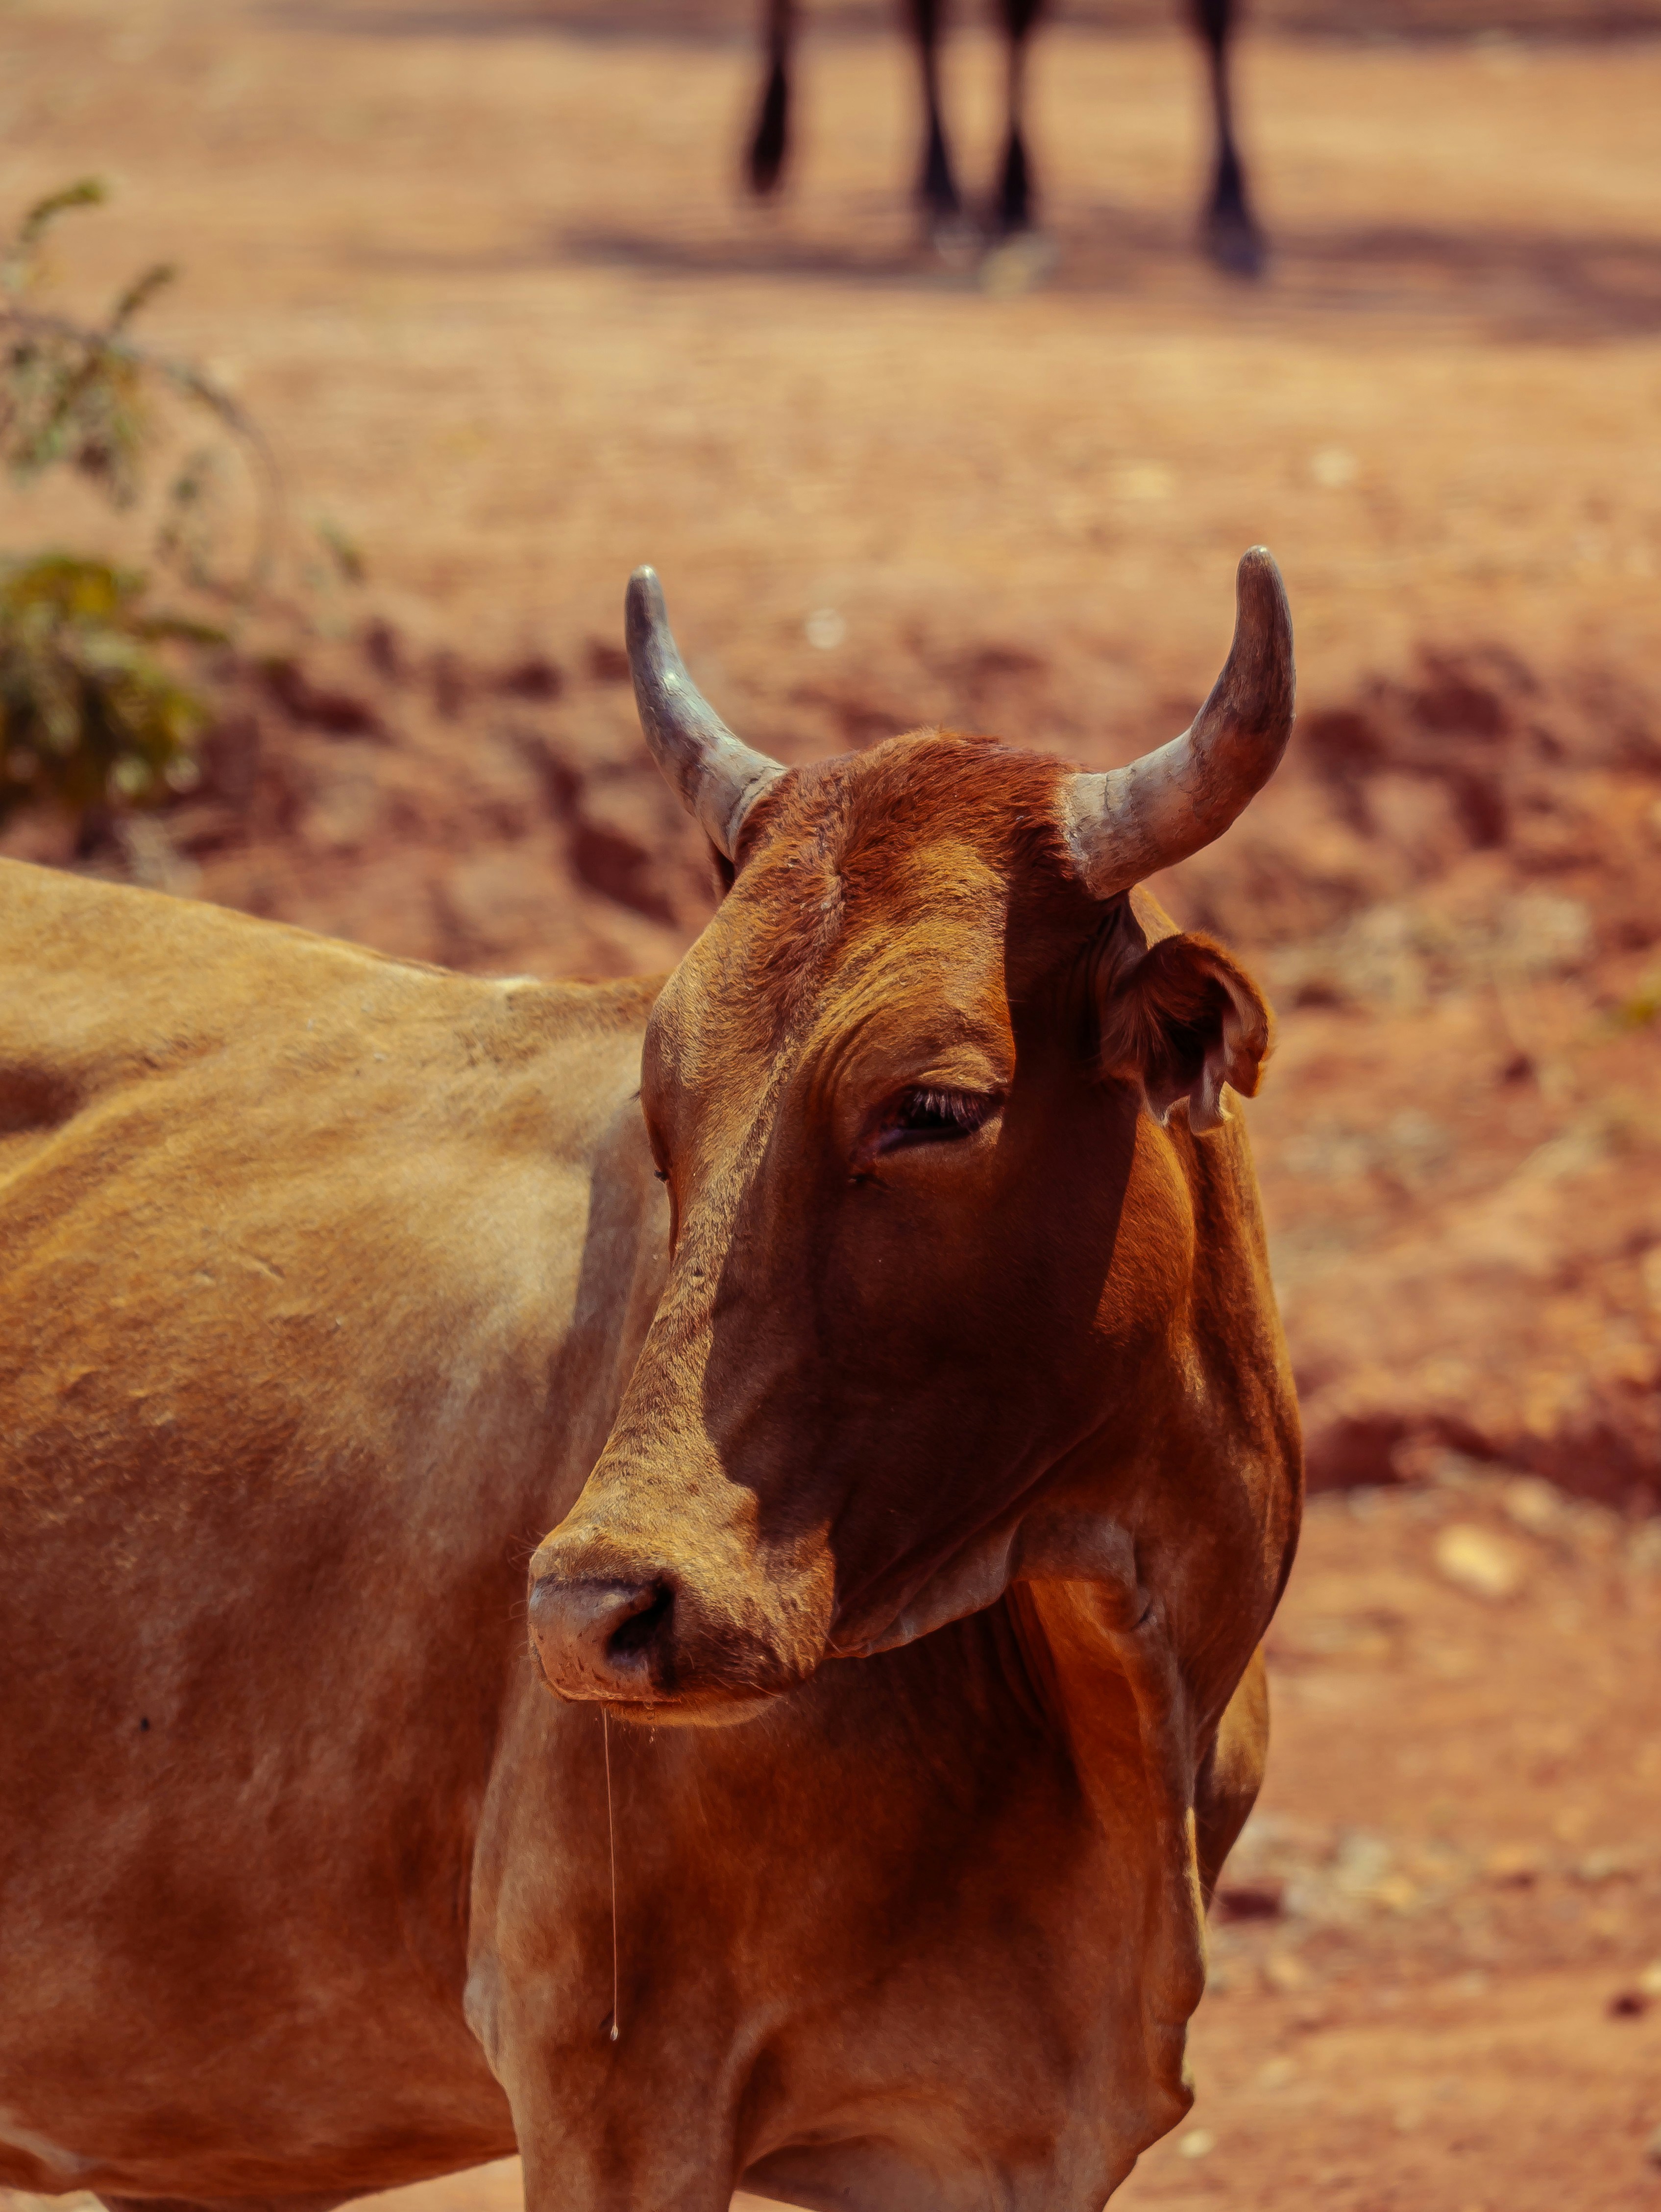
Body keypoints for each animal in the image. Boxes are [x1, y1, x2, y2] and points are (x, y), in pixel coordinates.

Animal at [0, 548, 1299, 2212]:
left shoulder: (1019, 2144)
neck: (1112, 1699)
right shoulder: (610, 2086)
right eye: (662, 1098)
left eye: (940, 1103)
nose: (591, 1609)